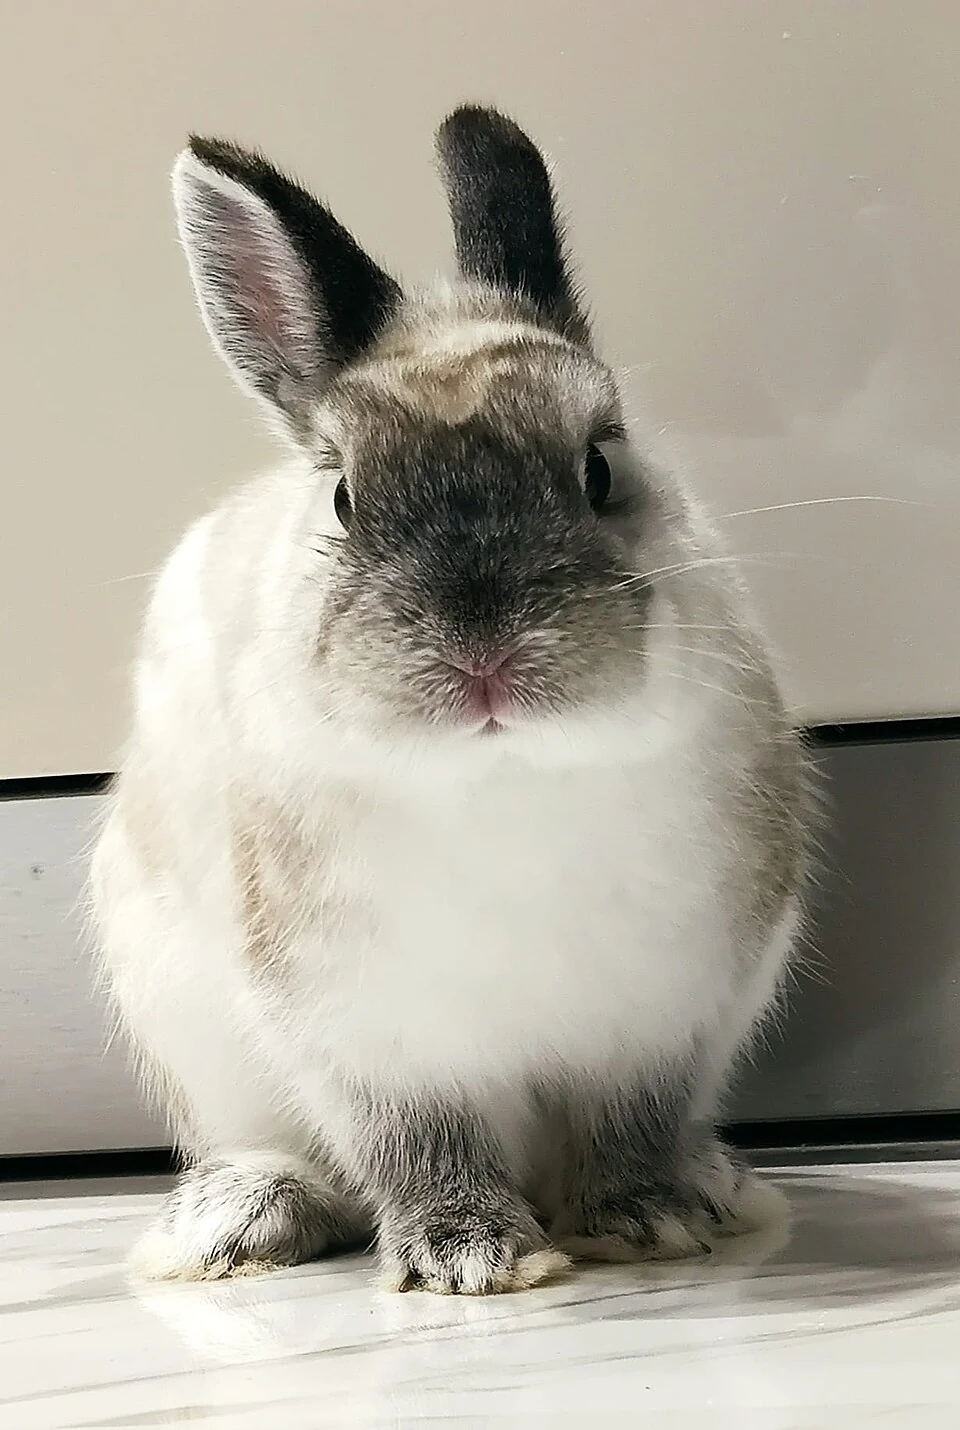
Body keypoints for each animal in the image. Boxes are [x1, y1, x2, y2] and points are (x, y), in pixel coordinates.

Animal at [91, 104, 812, 1295]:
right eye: (343, 495)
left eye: (600, 465)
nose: (485, 649)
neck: (503, 769)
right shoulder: (367, 1030)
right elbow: (419, 1139)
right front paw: (468, 1255)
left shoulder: (663, 1011)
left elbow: (629, 1122)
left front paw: (643, 1219)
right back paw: (241, 1220)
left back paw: (717, 1184)